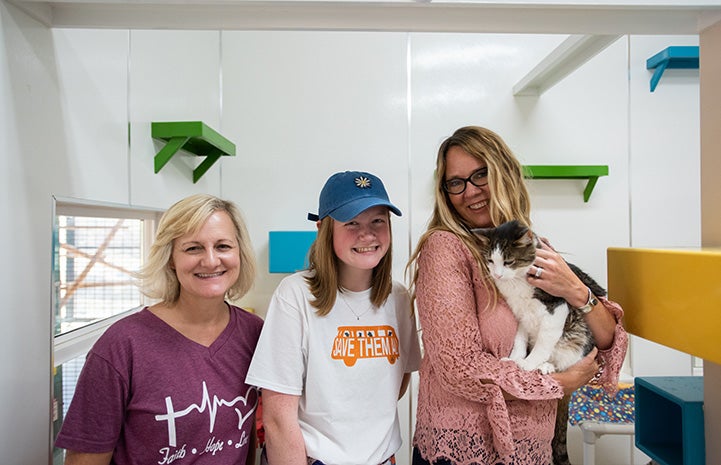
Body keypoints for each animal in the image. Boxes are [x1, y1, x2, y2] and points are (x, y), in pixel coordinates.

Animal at [472, 219, 600, 376]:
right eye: (490, 260)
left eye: (509, 262)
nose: (497, 275)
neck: (517, 281)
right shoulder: (521, 313)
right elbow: (519, 339)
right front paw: (514, 359)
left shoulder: (557, 307)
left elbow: (544, 342)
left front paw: (528, 363)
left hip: (577, 337)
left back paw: (546, 366)